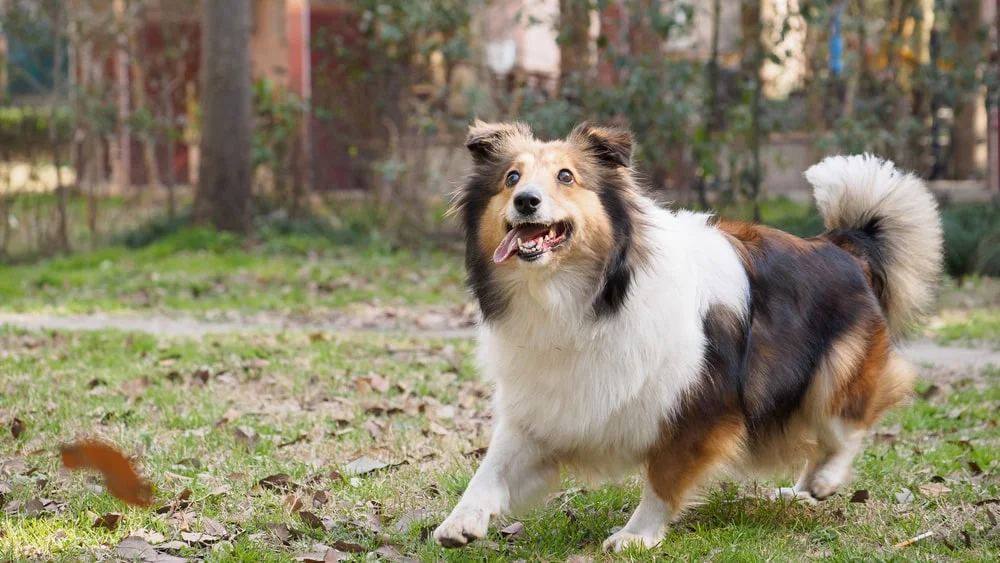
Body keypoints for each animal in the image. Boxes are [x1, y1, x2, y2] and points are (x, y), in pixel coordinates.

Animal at [434, 121, 940, 552]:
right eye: (511, 177)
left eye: (566, 176)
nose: (526, 200)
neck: (588, 297)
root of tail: (841, 243)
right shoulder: (546, 404)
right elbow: (492, 467)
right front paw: (461, 521)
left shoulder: (702, 405)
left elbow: (665, 474)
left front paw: (636, 535)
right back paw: (796, 493)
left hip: (832, 371)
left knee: (846, 422)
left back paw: (824, 481)